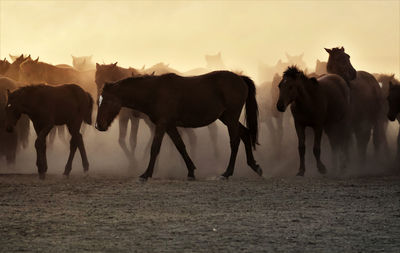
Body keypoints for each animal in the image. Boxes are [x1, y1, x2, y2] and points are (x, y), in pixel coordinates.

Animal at [94, 70, 262, 180]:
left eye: (107, 101)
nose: (98, 125)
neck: (154, 92)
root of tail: (240, 78)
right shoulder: (170, 126)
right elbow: (180, 146)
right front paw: (191, 171)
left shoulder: (162, 125)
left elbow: (155, 148)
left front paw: (146, 174)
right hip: (226, 117)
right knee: (245, 133)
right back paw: (254, 166)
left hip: (231, 118)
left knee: (235, 141)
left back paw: (227, 173)